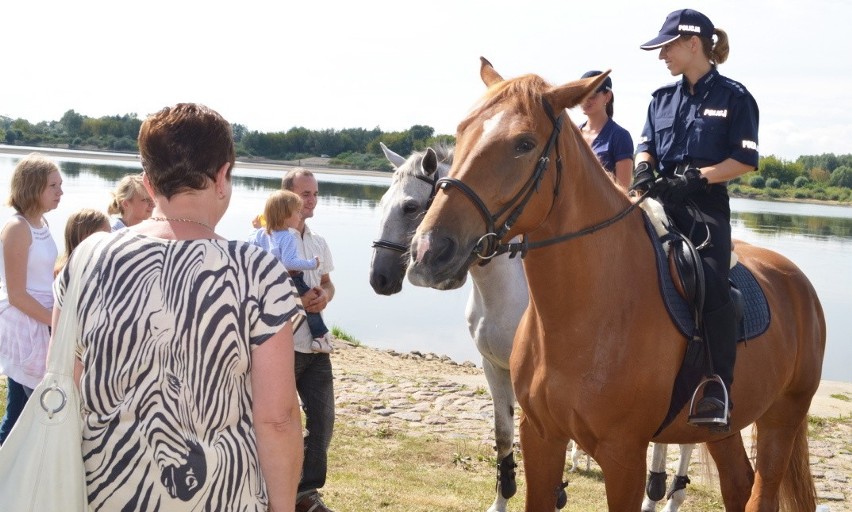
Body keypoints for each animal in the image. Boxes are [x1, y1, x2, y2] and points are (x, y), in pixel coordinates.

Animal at [370, 143, 696, 512]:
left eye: (410, 206)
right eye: (383, 203)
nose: (379, 278)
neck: (505, 291)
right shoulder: (493, 367)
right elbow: (503, 436)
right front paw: (501, 499)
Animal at [406, 58, 824, 510]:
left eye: (524, 143)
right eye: (462, 130)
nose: (429, 251)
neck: (585, 314)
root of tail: (799, 283)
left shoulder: (625, 455)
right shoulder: (540, 436)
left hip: (782, 417)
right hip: (723, 429)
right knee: (737, 484)